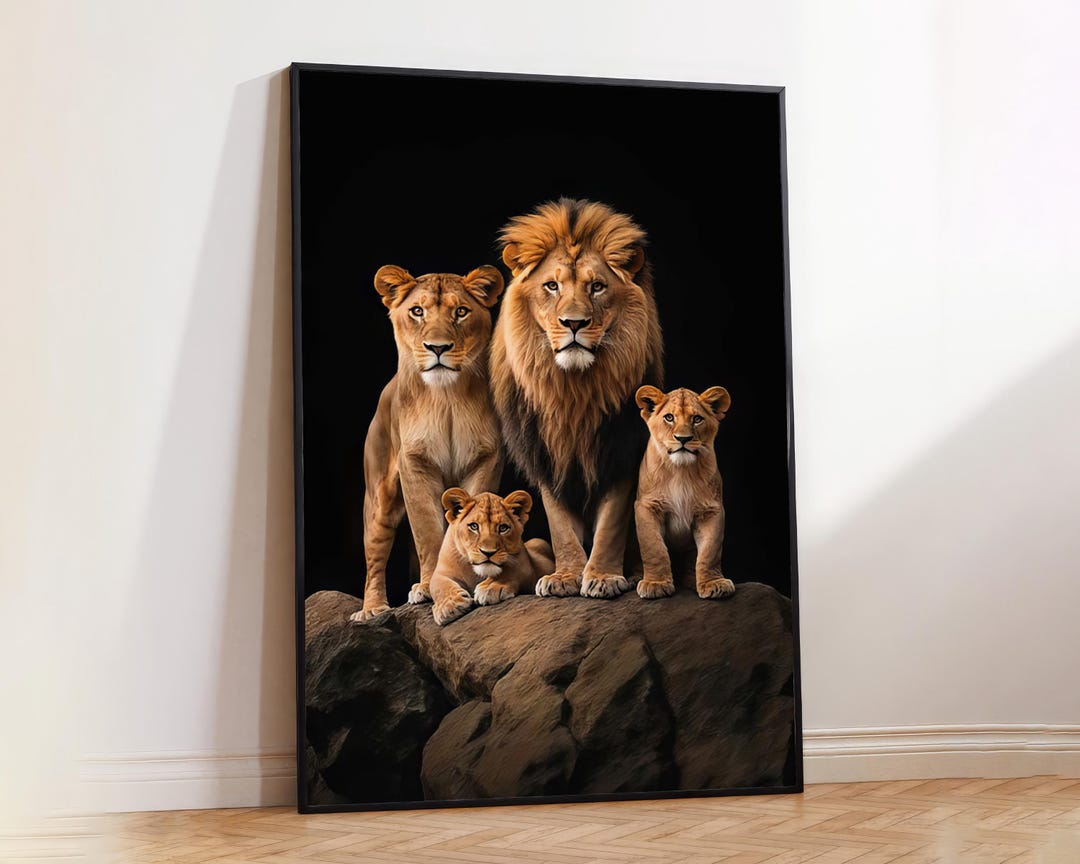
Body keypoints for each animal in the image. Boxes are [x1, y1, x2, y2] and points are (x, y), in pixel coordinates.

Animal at [350, 265, 506, 622]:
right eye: (417, 311)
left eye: (460, 312)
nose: (438, 347)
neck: (446, 396)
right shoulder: (415, 464)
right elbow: (428, 532)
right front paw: (430, 588)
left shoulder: (486, 458)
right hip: (378, 500)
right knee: (374, 558)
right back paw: (373, 609)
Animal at [428, 487, 555, 626]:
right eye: (474, 526)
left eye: (503, 528)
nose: (488, 552)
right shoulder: (442, 571)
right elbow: (439, 585)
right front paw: (450, 605)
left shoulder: (525, 566)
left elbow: (510, 571)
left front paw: (489, 587)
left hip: (538, 541)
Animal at [492, 198, 664, 599]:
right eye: (552, 286)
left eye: (597, 287)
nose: (573, 323)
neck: (572, 392)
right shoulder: (546, 455)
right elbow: (560, 529)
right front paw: (565, 576)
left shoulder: (619, 452)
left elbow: (612, 524)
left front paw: (602, 576)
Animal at [632, 385, 736, 600]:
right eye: (669, 417)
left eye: (697, 419)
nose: (683, 439)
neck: (680, 472)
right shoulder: (646, 506)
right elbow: (654, 548)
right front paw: (655, 584)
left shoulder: (711, 510)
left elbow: (710, 551)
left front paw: (713, 583)